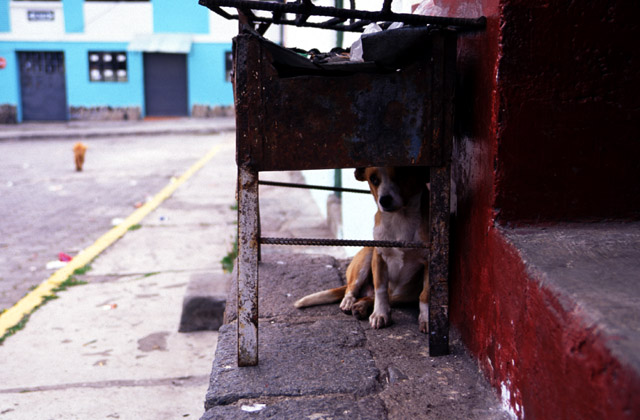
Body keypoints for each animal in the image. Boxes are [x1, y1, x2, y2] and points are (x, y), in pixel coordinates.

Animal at [296, 166, 430, 334]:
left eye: (402, 172)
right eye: (373, 179)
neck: (400, 219)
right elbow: (380, 289)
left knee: (375, 297)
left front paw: (426, 318)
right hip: (365, 257)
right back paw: (350, 302)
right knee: (353, 289)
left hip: (404, 294)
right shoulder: (379, 257)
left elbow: (425, 294)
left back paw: (361, 306)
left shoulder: (430, 260)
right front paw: (380, 314)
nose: (384, 200)